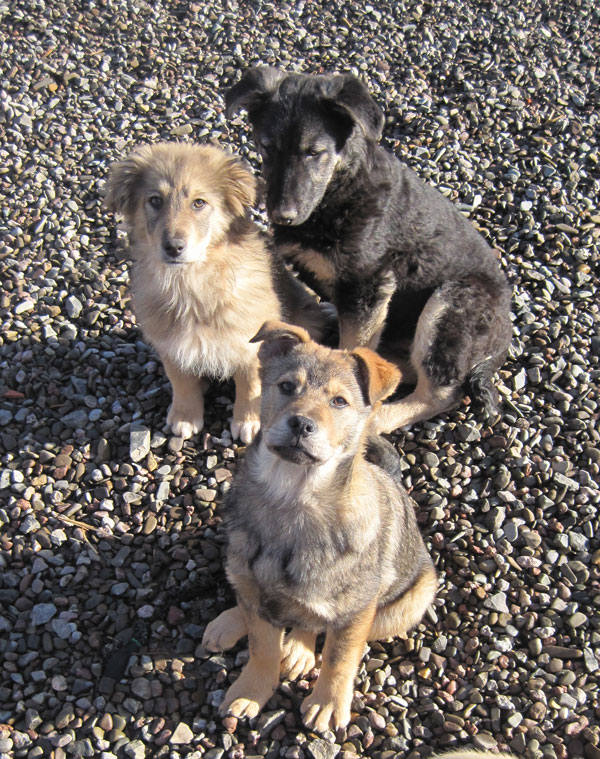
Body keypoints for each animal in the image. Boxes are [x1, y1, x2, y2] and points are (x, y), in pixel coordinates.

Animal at [202, 322, 436, 736]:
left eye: (339, 402)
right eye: (287, 386)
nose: (300, 424)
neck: (294, 500)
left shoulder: (356, 610)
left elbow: (339, 657)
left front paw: (327, 703)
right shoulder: (257, 588)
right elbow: (261, 648)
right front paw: (251, 690)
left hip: (410, 602)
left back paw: (298, 648)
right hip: (243, 573)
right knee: (249, 597)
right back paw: (231, 622)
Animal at [225, 68, 510, 436]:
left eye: (314, 152)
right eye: (266, 147)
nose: (282, 214)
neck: (338, 192)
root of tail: (503, 340)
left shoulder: (368, 285)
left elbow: (353, 352)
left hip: (451, 305)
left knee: (440, 392)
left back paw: (377, 418)